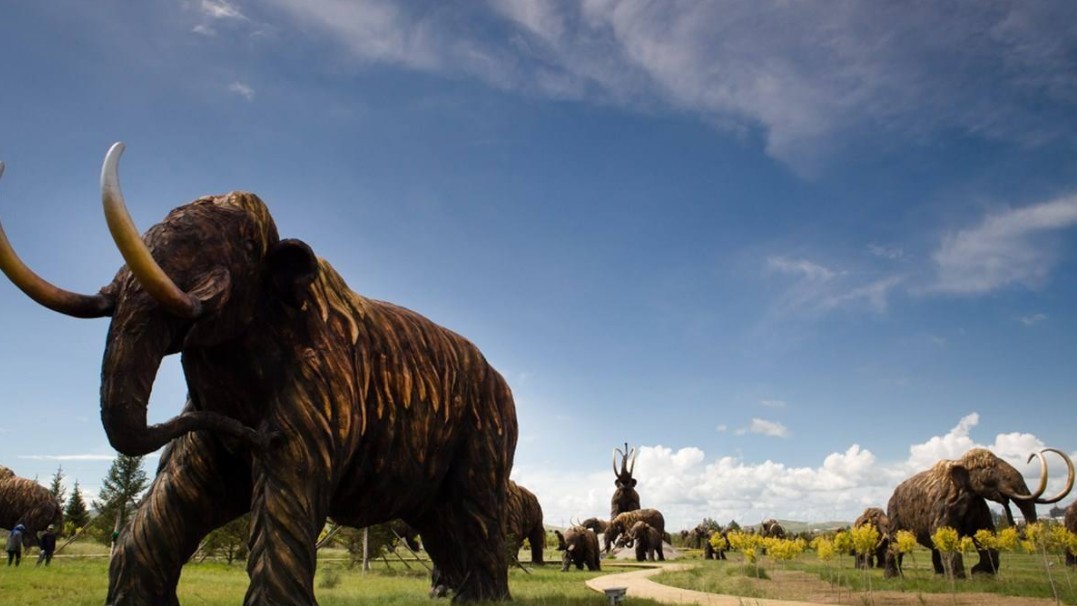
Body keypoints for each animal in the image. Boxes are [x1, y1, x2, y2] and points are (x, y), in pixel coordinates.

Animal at [0, 146, 519, 604]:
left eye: (241, 247)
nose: (260, 435)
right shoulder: (208, 421)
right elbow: (174, 495)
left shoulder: (323, 388)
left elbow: (284, 492)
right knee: (440, 525)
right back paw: (446, 593)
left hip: (485, 437)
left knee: (474, 512)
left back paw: (479, 599)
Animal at [885, 447, 1073, 579]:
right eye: (989, 471)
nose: (1019, 528)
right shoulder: (942, 506)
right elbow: (944, 532)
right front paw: (959, 579)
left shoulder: (978, 505)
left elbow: (984, 531)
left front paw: (982, 574)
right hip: (894, 514)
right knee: (895, 541)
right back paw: (894, 577)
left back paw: (939, 576)